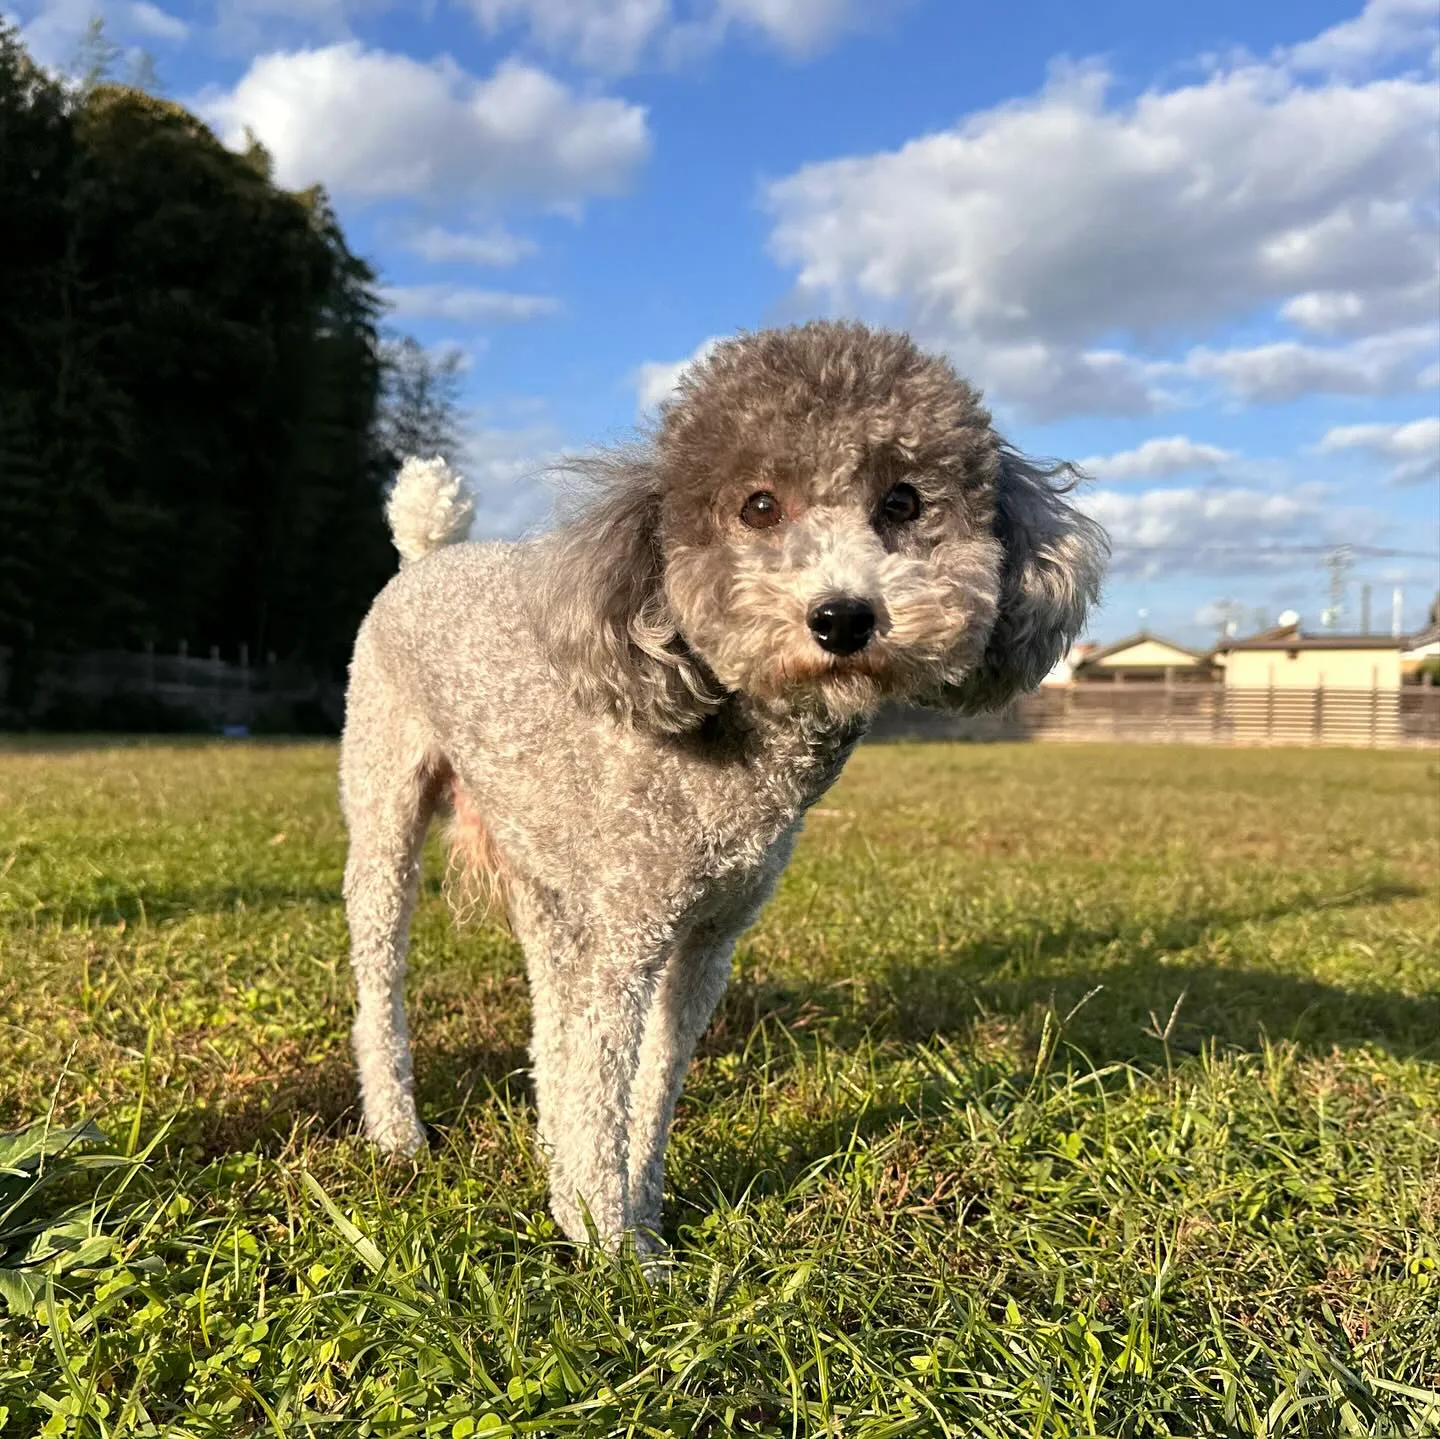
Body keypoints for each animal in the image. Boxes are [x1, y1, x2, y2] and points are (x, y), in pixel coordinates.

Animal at [334, 324, 1100, 1261]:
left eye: (905, 501)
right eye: (759, 507)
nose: (842, 618)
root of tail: (429, 553)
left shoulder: (706, 941)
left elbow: (651, 1087)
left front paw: (634, 1211)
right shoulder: (628, 937)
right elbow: (606, 1085)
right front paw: (612, 1248)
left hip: (544, 867)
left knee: (549, 1013)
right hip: (384, 809)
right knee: (383, 982)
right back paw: (398, 1132)